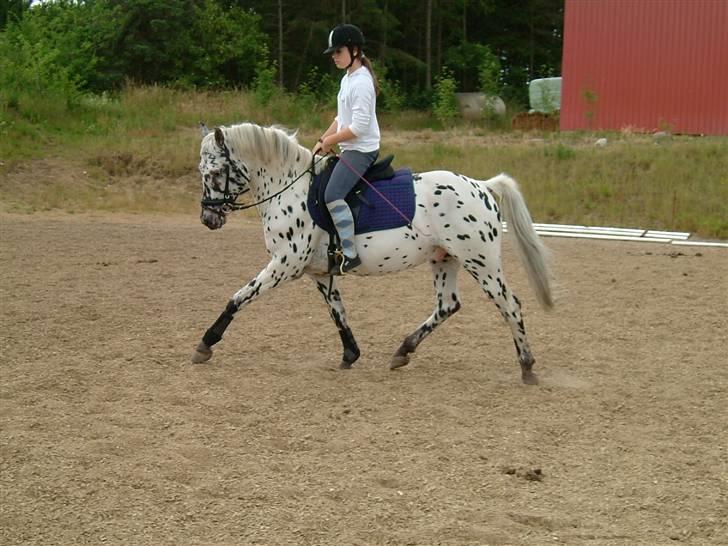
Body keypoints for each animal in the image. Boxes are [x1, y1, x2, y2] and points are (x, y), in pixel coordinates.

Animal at [193, 122, 552, 382]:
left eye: (214, 173)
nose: (208, 219)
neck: (289, 188)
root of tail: (482, 186)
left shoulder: (285, 264)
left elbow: (238, 298)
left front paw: (205, 344)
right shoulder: (319, 272)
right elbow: (338, 312)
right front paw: (350, 354)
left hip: (481, 261)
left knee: (510, 305)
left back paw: (527, 365)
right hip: (444, 259)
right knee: (447, 305)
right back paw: (403, 351)